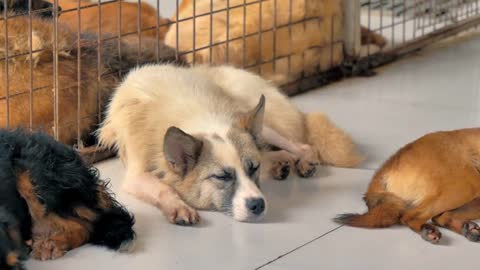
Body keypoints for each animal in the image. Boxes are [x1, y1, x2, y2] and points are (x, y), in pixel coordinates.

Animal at [96, 64, 360, 225]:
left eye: (252, 169)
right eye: (222, 177)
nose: (258, 205)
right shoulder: (136, 176)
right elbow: (164, 188)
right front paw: (178, 206)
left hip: (256, 120)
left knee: (301, 146)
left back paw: (302, 162)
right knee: (277, 151)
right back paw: (281, 165)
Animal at [336, 129, 480, 245]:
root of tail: (386, 166)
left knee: (440, 217)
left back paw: (469, 230)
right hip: (467, 186)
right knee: (410, 216)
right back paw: (428, 231)